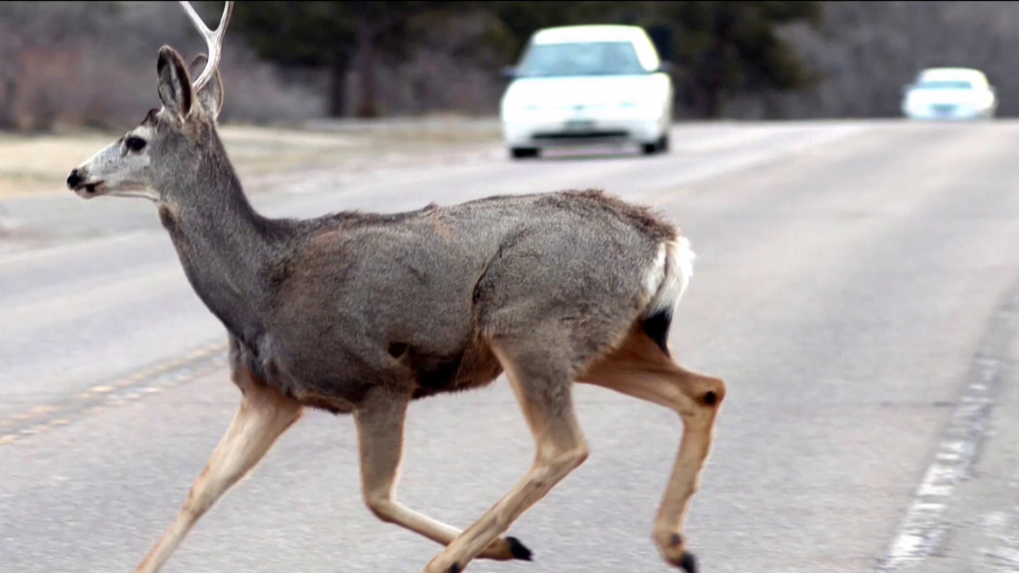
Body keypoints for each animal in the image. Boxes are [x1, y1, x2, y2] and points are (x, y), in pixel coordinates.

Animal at [61, 2, 725, 566]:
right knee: (703, 390)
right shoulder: (271, 394)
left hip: (530, 323)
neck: (260, 292)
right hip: (602, 340)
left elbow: (375, 497)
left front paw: (500, 545)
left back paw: (454, 557)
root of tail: (663, 239)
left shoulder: (377, 378)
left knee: (565, 445)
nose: (74, 175)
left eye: (135, 141)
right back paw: (675, 545)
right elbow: (199, 492)